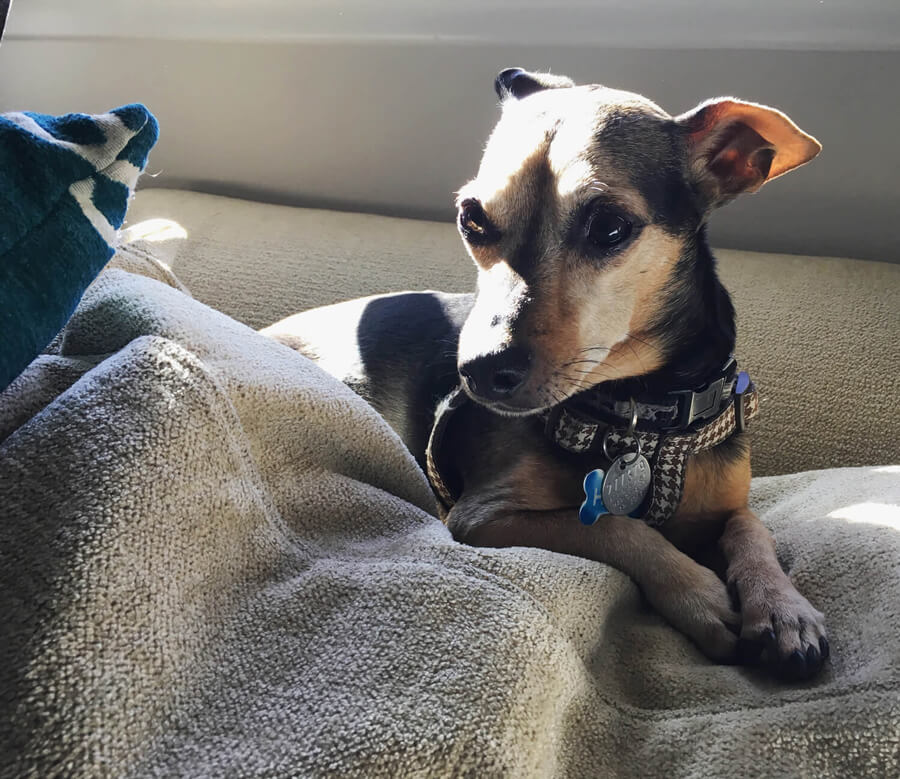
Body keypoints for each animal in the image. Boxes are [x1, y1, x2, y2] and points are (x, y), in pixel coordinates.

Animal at [262, 70, 828, 680]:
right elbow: (612, 525)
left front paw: (784, 609)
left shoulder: (726, 505)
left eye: (609, 226)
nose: (478, 370)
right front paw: (700, 594)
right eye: (471, 219)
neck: (640, 410)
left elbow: (752, 528)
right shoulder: (482, 516)